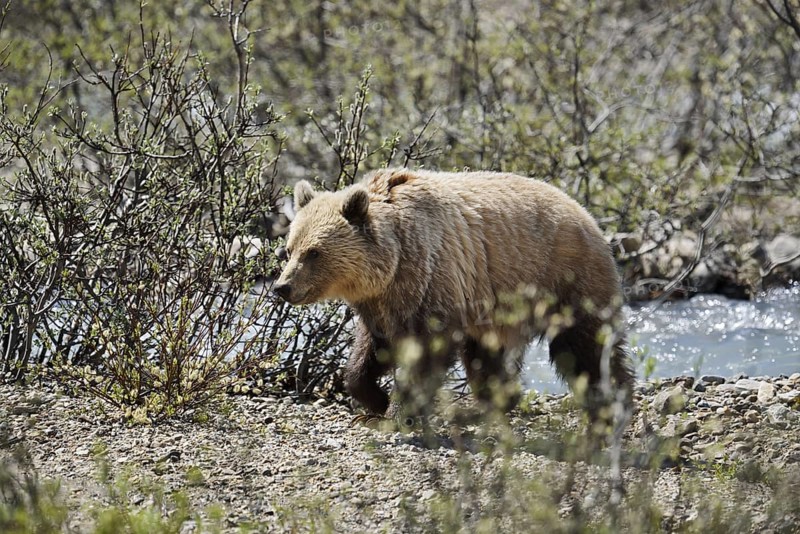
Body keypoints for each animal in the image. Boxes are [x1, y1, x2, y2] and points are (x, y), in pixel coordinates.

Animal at [274, 168, 634, 426]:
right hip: (495, 306)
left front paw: (398, 413)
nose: (282, 287)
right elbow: (371, 351)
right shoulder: (384, 302)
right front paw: (374, 400)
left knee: (584, 344)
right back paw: (488, 405)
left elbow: (426, 351)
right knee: (487, 357)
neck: (393, 263)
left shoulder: (432, 278)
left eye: (314, 253)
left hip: (564, 277)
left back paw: (613, 399)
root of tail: (587, 213)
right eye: (288, 249)